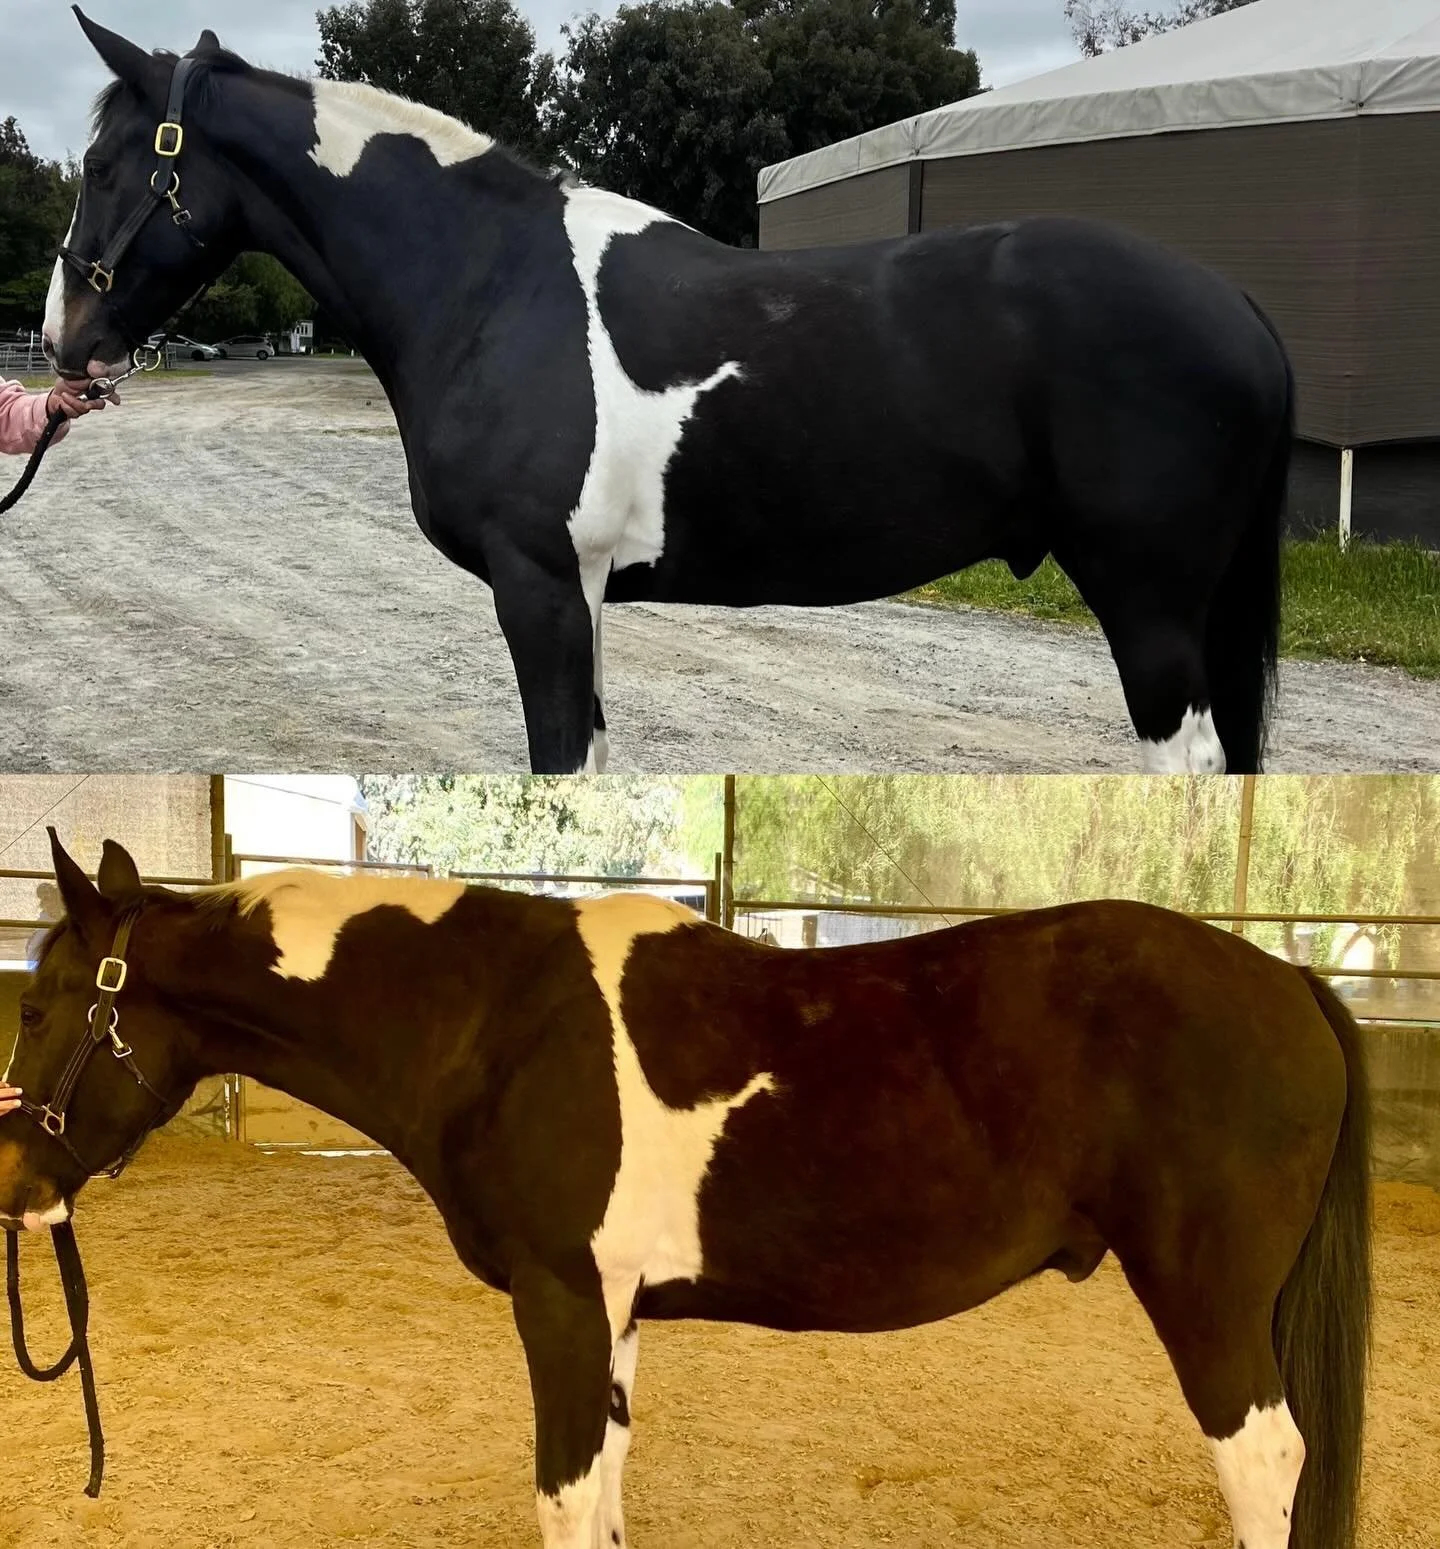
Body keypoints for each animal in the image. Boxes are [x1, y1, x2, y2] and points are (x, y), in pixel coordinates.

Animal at [2, 833, 1369, 1549]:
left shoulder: (559, 1299)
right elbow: (605, 1486)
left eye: (43, 1000)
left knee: (1265, 1461)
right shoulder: (613, 1310)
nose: (14, 1182)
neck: (494, 1021)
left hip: (1207, 1303)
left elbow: (562, 1495)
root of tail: (1290, 982)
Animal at [40, 12, 1294, 775]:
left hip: (1148, 607)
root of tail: (1237, 304)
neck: (494, 281)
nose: (63, 342)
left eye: (102, 167)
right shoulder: (581, 595)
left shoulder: (541, 587)